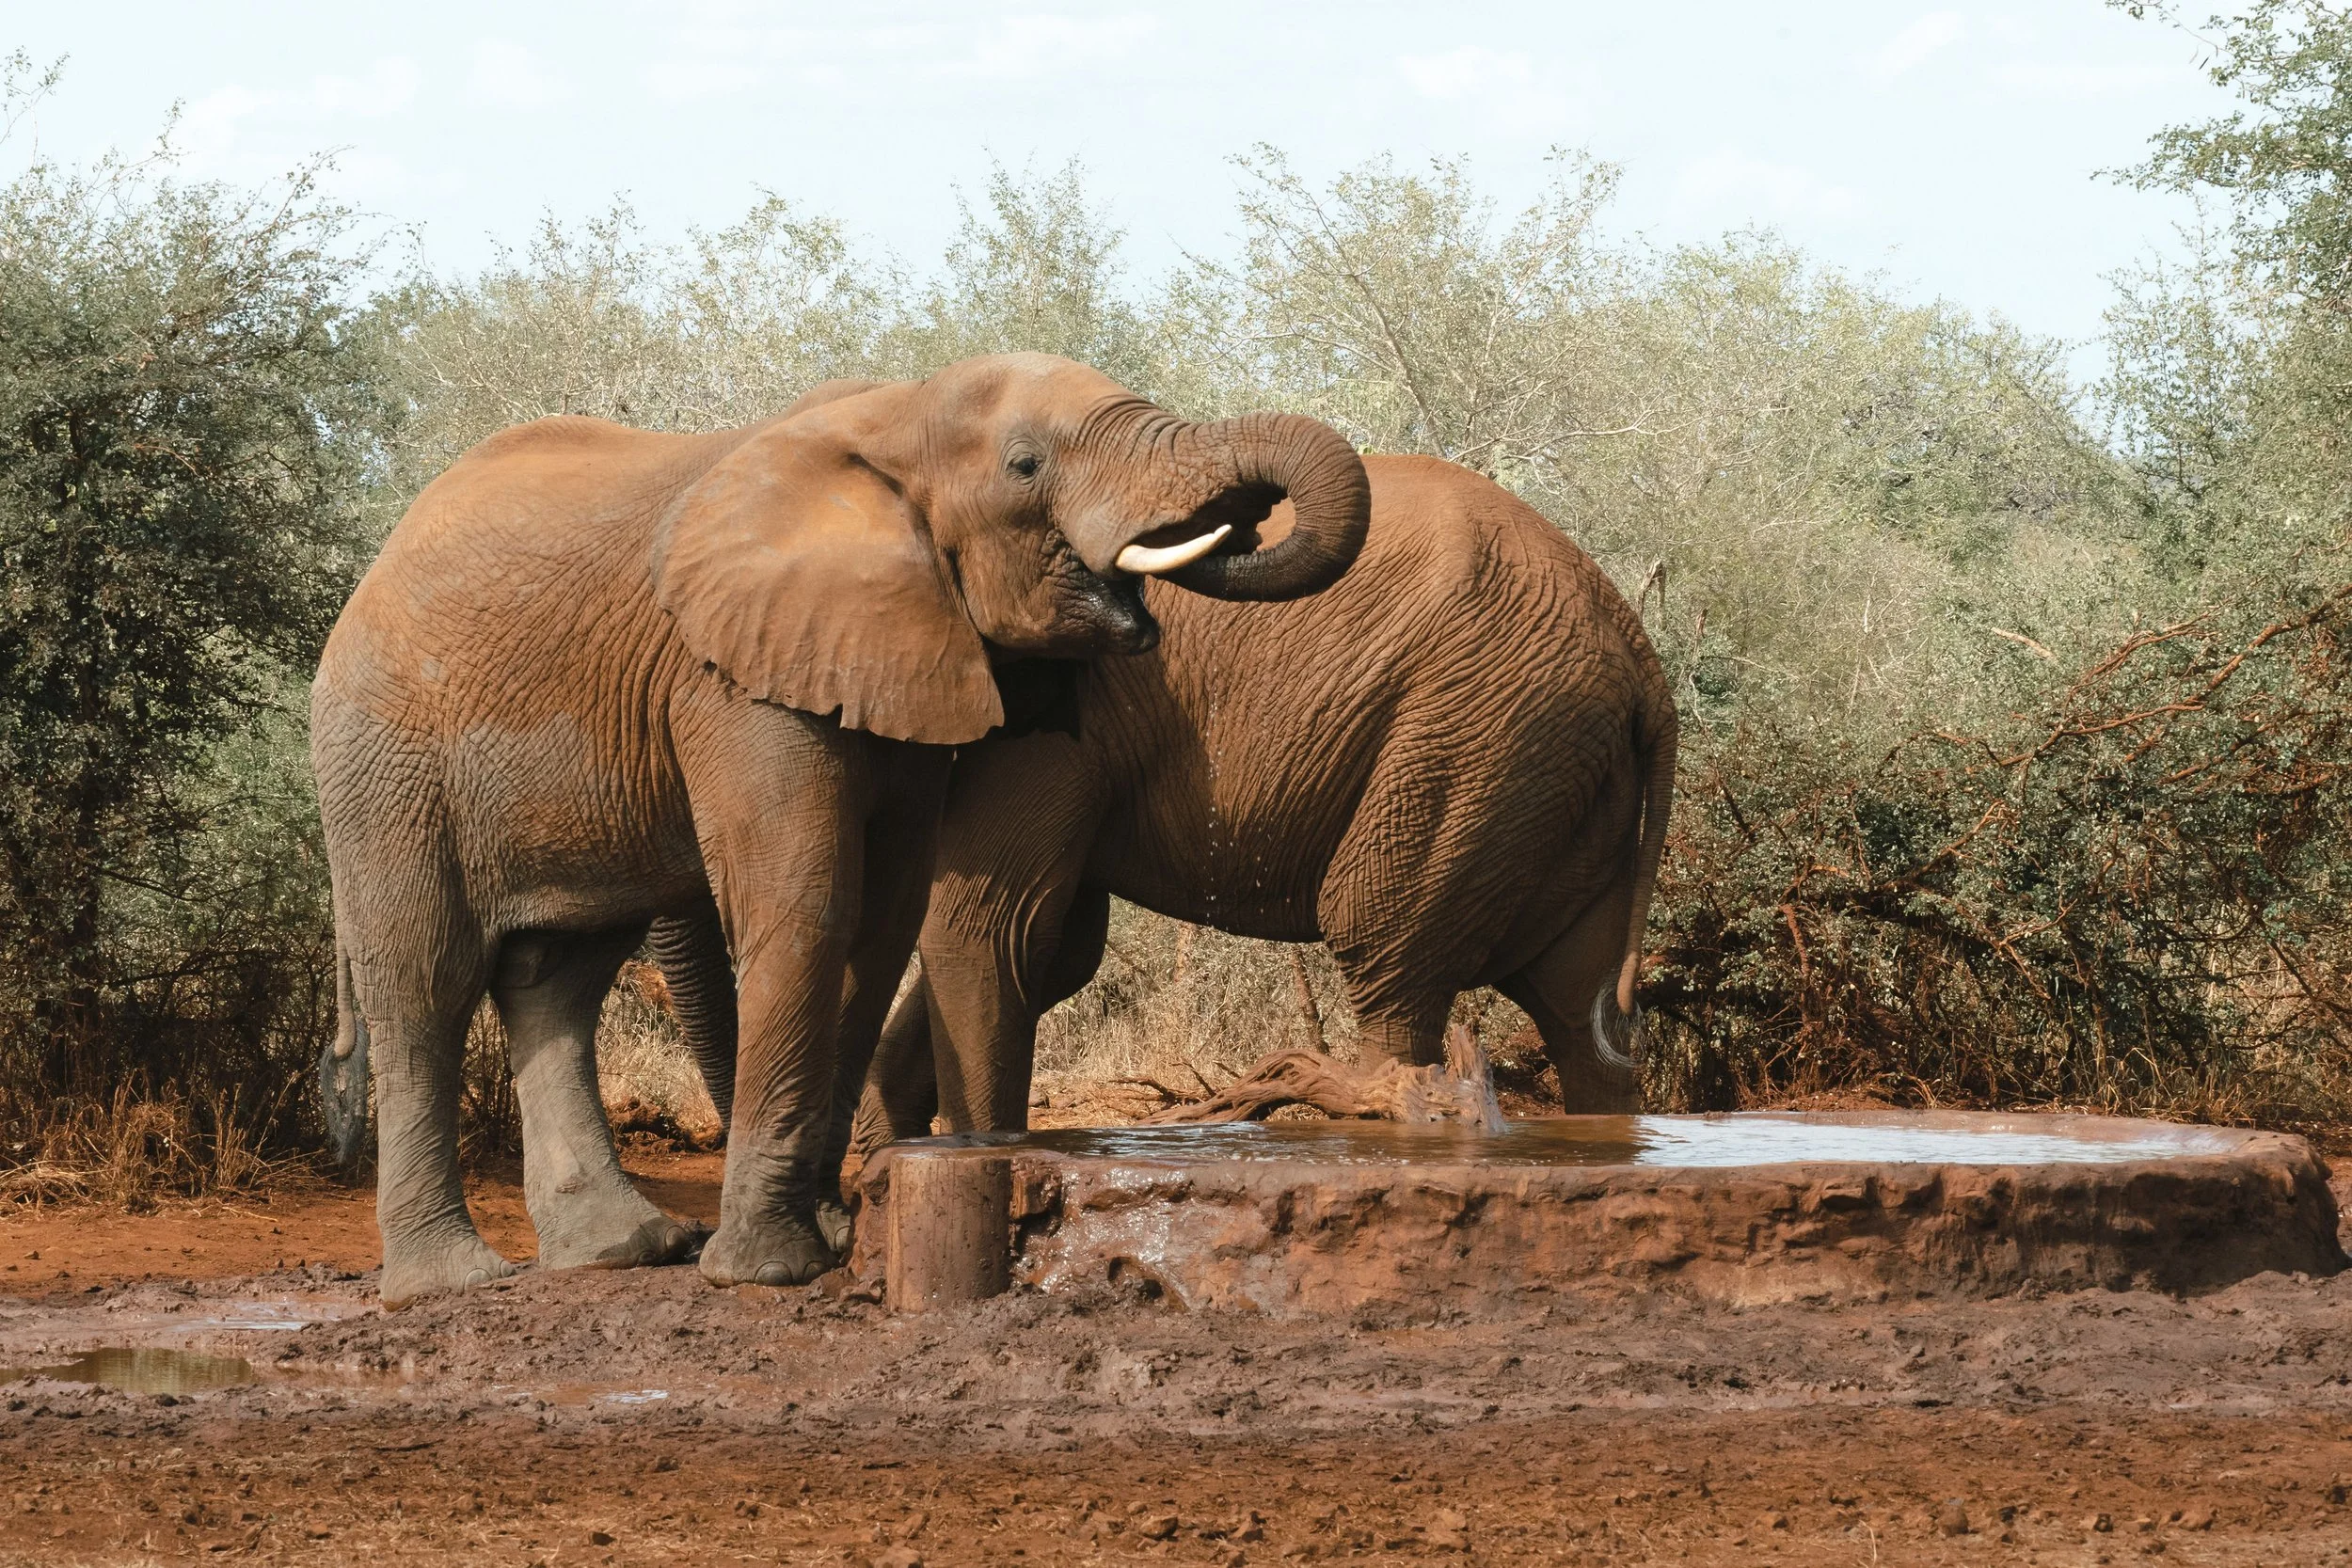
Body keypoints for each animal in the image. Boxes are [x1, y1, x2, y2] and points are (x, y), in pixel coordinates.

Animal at [309, 352, 1371, 1305]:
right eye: (1026, 465)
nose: (1240, 517)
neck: (899, 413)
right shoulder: (736, 675)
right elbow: (811, 900)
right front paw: (771, 1269)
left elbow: (882, 916)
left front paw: (822, 1235)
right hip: (383, 760)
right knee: (425, 977)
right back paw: (447, 1282)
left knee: (556, 979)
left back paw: (628, 1250)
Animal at [653, 444, 1677, 1156]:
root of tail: (1643, 662)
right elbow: (1054, 945)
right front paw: (881, 1154)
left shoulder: (1063, 709)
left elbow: (994, 927)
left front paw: (970, 1153)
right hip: (1548, 766)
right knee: (1581, 1005)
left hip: (1475, 739)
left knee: (1387, 950)